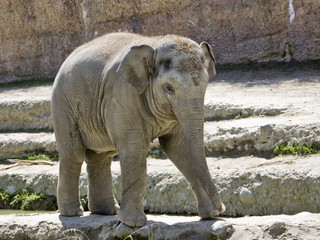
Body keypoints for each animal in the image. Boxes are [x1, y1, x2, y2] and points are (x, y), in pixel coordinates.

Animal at [51, 32, 225, 227]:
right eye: (169, 88)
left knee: (100, 157)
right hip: (63, 105)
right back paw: (72, 213)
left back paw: (107, 212)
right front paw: (133, 224)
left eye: (205, 86)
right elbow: (134, 147)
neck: (153, 44)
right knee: (73, 155)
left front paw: (210, 215)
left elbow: (178, 147)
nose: (221, 208)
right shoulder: (122, 95)